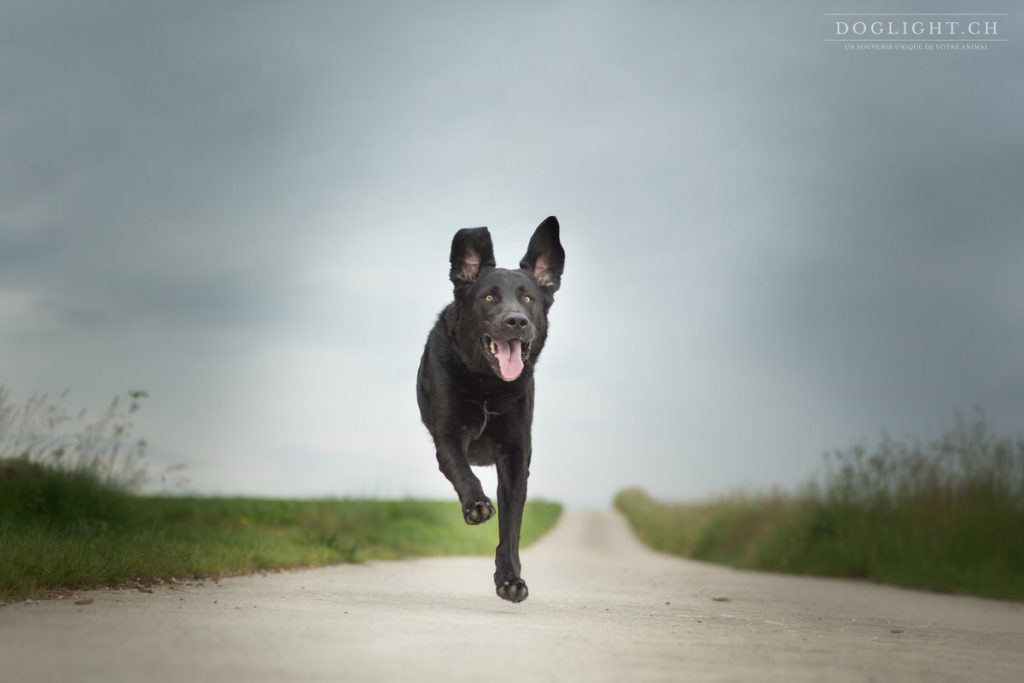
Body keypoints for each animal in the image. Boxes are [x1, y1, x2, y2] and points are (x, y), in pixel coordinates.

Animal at [417, 215, 569, 602]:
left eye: (528, 298)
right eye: (488, 296)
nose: (516, 321)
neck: (487, 383)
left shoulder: (515, 457)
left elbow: (511, 528)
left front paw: (510, 578)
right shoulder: (448, 436)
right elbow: (463, 471)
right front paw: (476, 504)